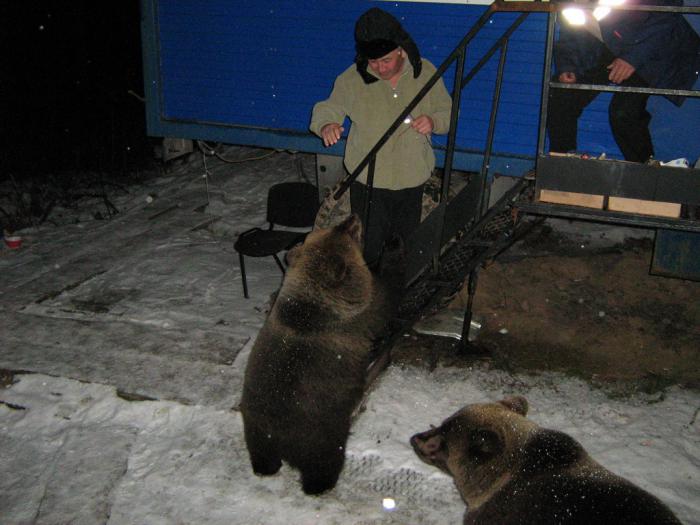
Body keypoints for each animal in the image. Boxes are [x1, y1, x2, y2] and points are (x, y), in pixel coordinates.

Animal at [241, 214, 402, 496]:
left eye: (331, 228)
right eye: (345, 231)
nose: (353, 217)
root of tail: (281, 442)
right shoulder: (364, 312)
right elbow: (385, 293)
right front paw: (393, 245)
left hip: (256, 425)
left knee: (261, 452)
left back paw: (264, 467)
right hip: (322, 434)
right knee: (324, 462)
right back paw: (321, 485)